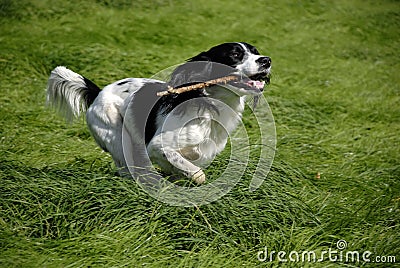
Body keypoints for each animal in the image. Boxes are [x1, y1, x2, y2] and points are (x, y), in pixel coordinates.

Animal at [47, 42, 272, 184]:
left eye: (255, 51)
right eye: (235, 55)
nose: (266, 60)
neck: (209, 104)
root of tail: (98, 92)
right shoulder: (158, 146)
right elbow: (198, 174)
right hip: (118, 139)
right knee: (129, 169)